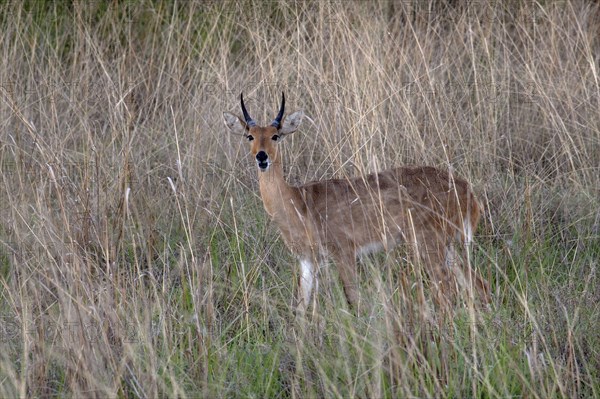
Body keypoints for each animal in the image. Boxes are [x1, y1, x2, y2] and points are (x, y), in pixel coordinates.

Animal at [223, 93, 490, 312]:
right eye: (249, 136)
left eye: (276, 136)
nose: (262, 157)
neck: (299, 203)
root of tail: (466, 189)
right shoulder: (308, 261)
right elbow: (301, 307)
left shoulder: (344, 252)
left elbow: (353, 297)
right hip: (449, 247)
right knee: (477, 284)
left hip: (430, 245)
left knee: (447, 290)